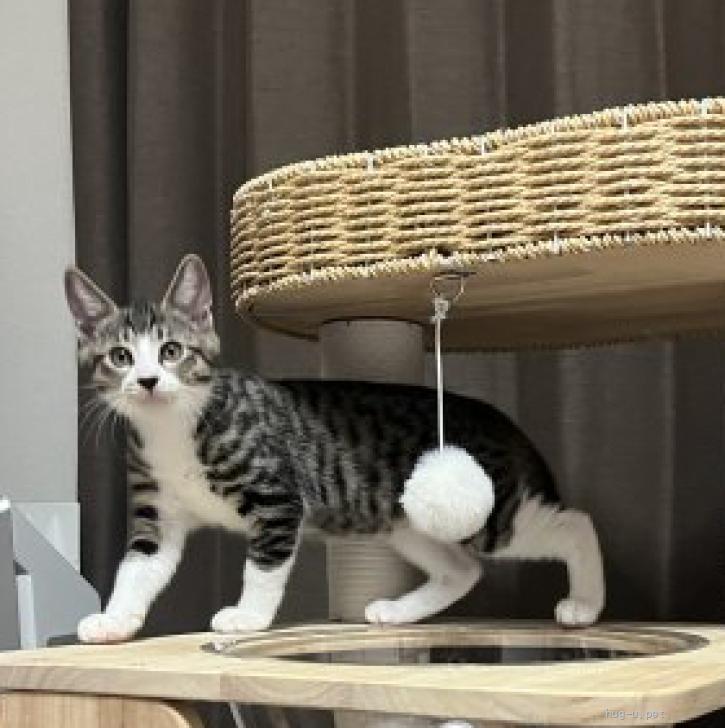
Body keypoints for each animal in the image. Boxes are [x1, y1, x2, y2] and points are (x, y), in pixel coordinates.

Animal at [64, 254, 605, 643]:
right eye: (120, 357)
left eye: (172, 351)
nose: (148, 381)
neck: (174, 427)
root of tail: (500, 420)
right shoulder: (157, 510)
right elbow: (137, 568)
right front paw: (114, 621)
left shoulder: (276, 495)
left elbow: (263, 566)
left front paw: (247, 617)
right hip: (405, 517)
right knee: (462, 568)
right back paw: (396, 611)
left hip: (490, 512)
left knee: (571, 523)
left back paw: (585, 603)